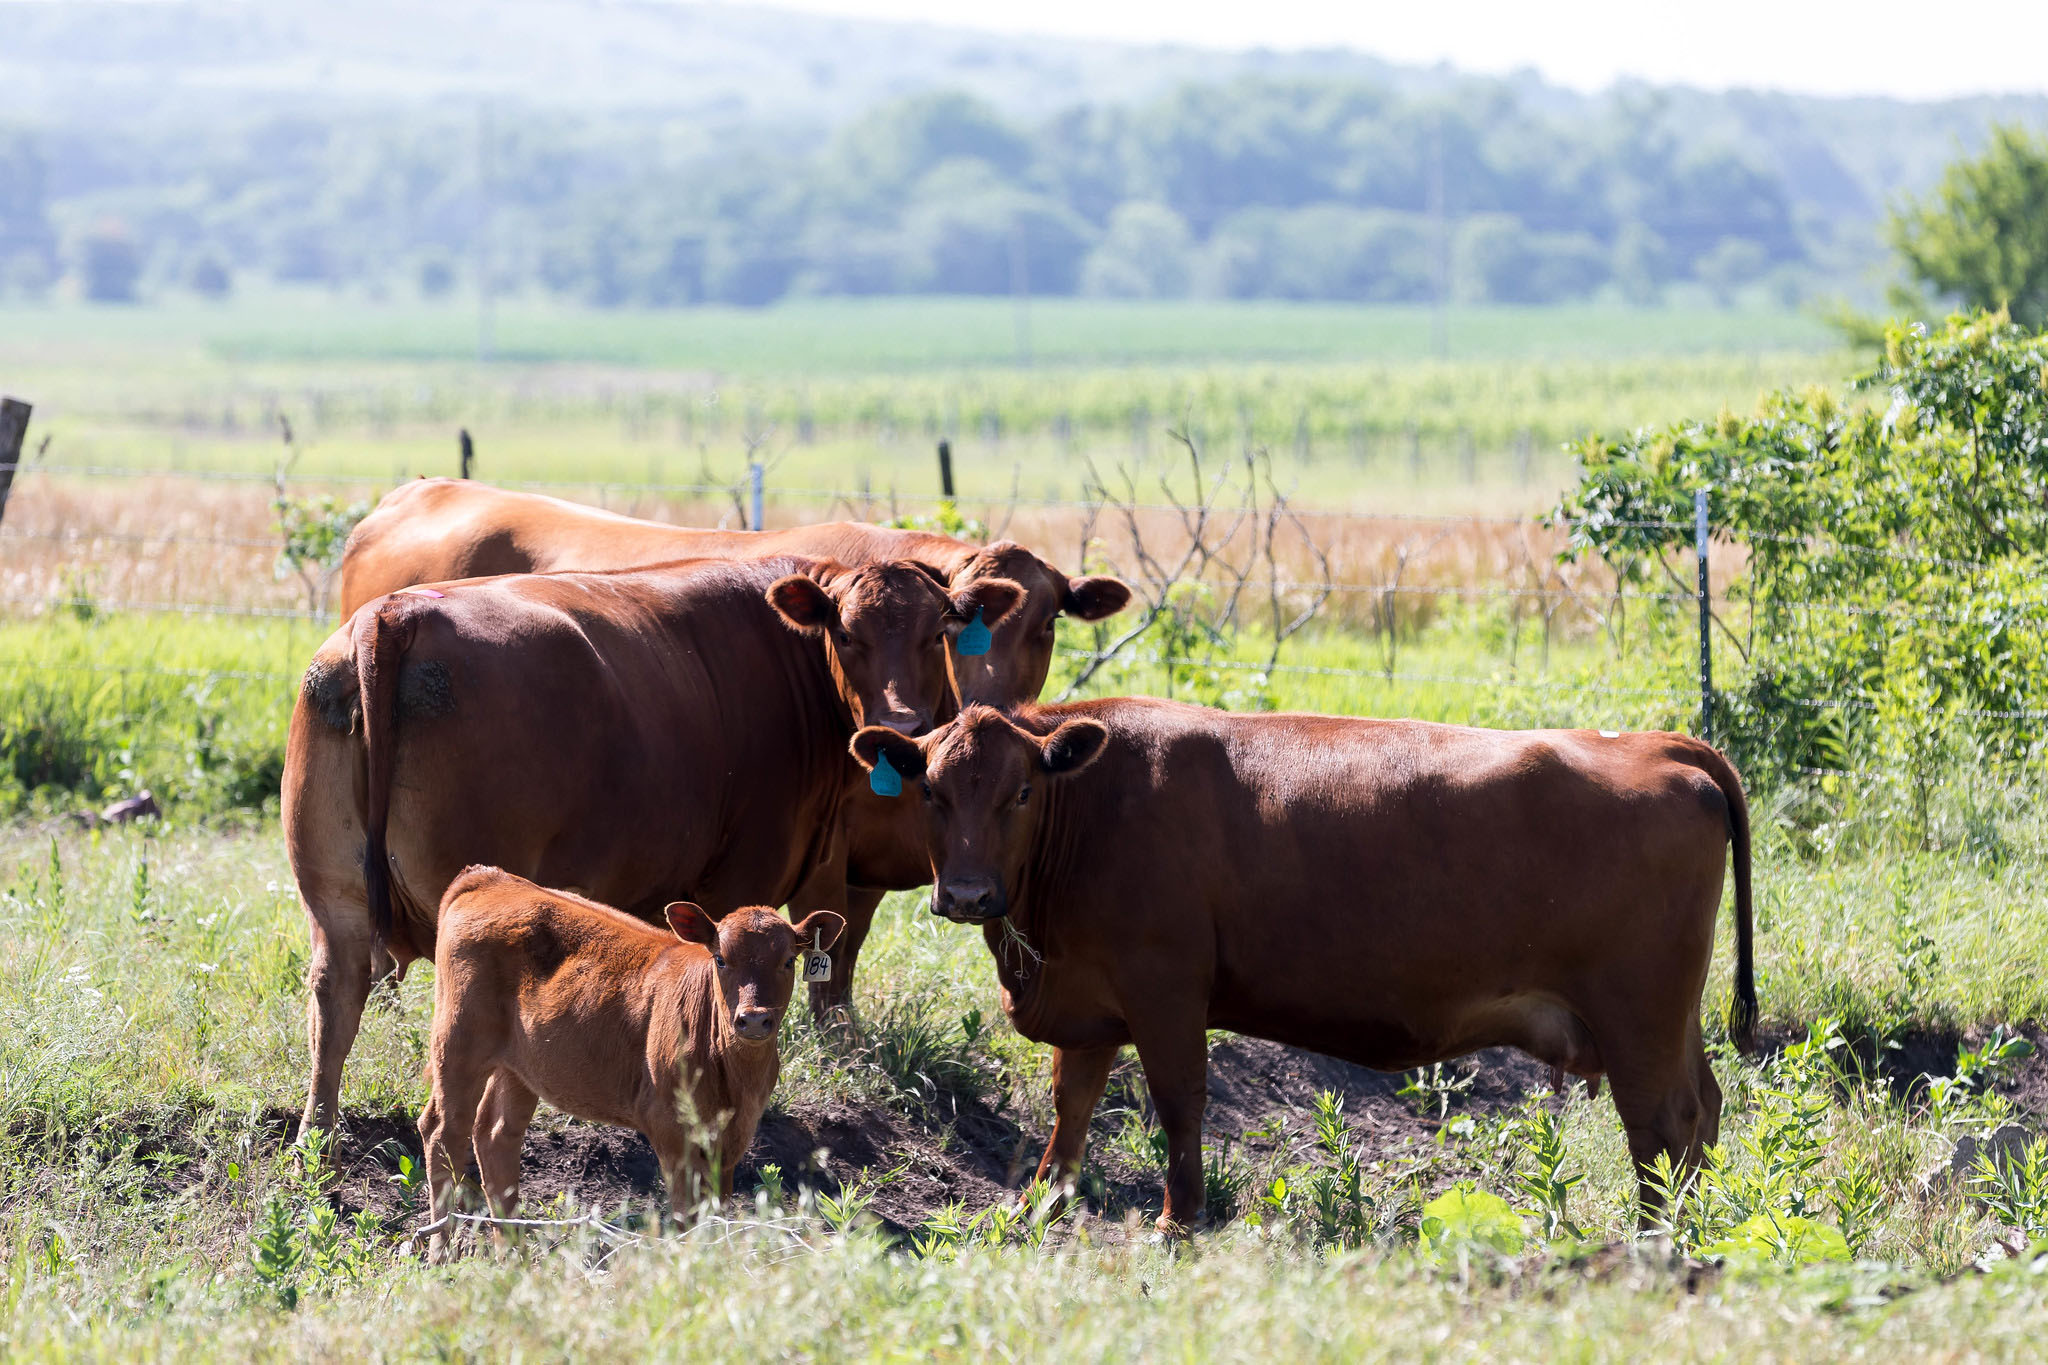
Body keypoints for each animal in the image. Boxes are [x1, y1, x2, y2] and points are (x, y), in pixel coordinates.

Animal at [284, 556, 1019, 1146]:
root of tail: (395, 613)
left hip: (333, 899)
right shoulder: (747, 872)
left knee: (334, 996)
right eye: (846, 632)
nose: (902, 725)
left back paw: (318, 1137)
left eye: (937, 630)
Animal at [415, 871, 839, 1252]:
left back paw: (513, 1256)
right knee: (443, 1131)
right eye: (720, 959)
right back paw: (441, 1253)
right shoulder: (670, 1128)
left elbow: (716, 1209)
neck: (733, 1076)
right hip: (458, 1043)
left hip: (519, 1066)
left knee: (495, 1133)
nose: (752, 1019)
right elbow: (687, 1214)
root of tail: (490, 877)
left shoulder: (734, 1136)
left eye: (789, 961)